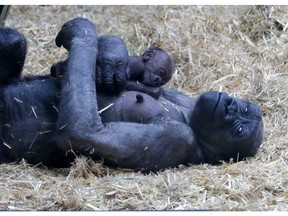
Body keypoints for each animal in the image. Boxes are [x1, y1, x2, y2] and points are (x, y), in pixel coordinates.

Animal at [0, 17, 264, 172]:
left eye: (239, 130)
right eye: (244, 108)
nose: (229, 105)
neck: (188, 115)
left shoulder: (179, 139)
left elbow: (82, 133)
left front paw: (81, 32)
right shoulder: (186, 98)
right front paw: (111, 54)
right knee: (14, 40)